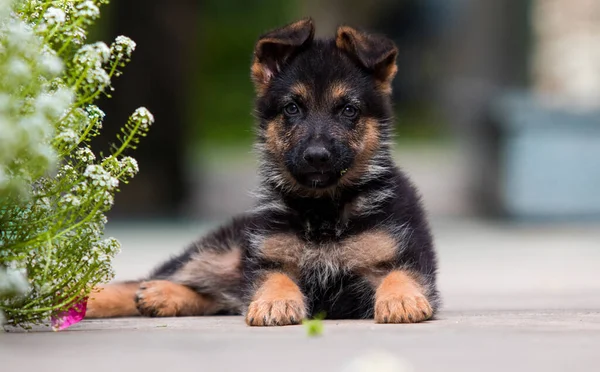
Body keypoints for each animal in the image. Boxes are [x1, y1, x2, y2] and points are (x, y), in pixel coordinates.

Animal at [85, 18, 440, 326]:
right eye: (292, 108)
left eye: (349, 110)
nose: (317, 157)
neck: (322, 210)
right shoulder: (266, 257)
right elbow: (275, 278)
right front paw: (275, 301)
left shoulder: (406, 254)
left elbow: (400, 273)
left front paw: (402, 299)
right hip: (224, 252)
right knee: (152, 280)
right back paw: (93, 298)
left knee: (217, 296)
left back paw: (161, 297)